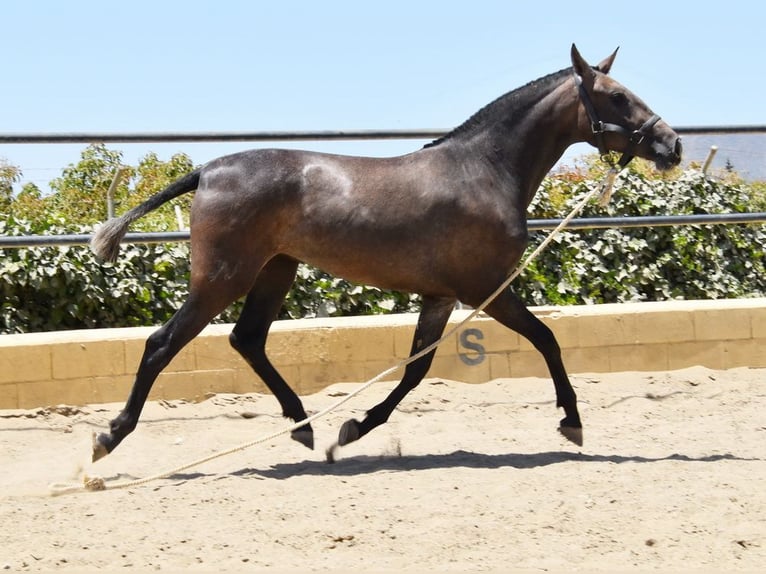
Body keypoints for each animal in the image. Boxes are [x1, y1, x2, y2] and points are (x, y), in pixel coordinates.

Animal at [90, 45, 684, 464]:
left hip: (276, 270)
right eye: (617, 97)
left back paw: (305, 426)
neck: (485, 171)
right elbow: (547, 339)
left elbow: (417, 370)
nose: (671, 144)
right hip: (223, 277)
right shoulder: (487, 290)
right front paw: (572, 422)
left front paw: (352, 429)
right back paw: (109, 438)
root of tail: (208, 169)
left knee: (248, 339)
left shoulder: (441, 296)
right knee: (162, 344)